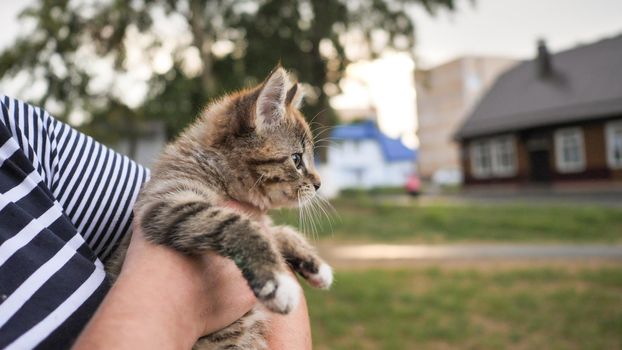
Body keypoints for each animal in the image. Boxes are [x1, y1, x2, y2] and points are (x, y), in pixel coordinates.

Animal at [108, 67, 332, 348]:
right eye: (297, 159)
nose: (319, 184)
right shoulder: (165, 201)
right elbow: (236, 223)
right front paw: (276, 281)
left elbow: (278, 231)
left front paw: (314, 265)